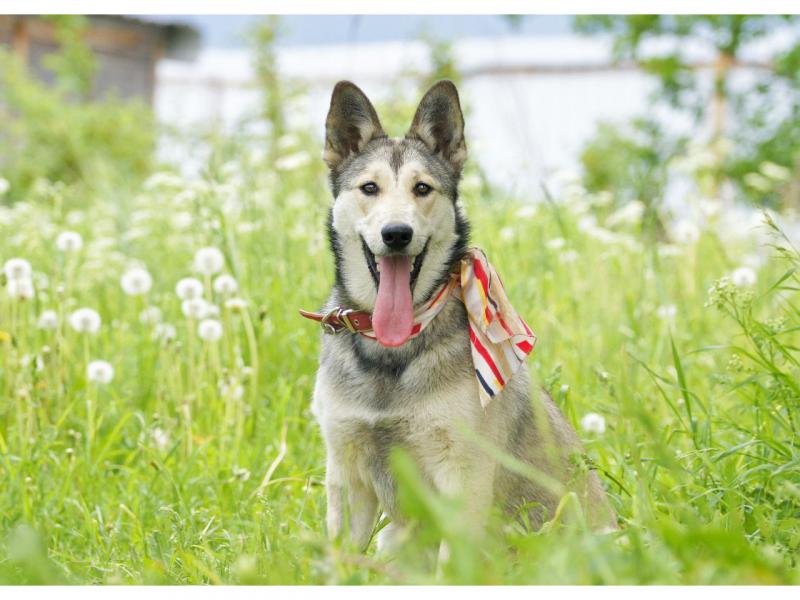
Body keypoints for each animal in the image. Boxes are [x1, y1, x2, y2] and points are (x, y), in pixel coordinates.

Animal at [306, 79, 620, 552]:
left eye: (422, 189)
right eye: (369, 188)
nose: (396, 234)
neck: (392, 352)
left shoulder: (461, 480)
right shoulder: (347, 477)